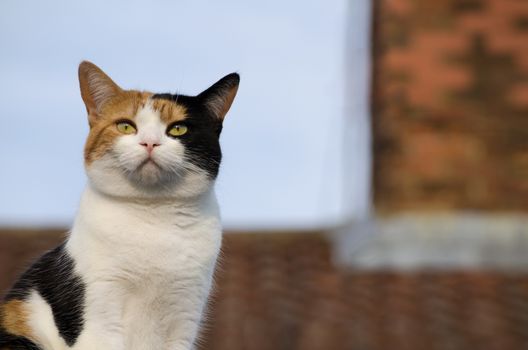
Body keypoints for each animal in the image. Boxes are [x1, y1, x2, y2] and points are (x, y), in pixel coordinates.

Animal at [0, 61, 239, 348]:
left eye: (178, 129)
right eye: (126, 126)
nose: (150, 142)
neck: (153, 215)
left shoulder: (185, 316)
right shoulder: (100, 314)